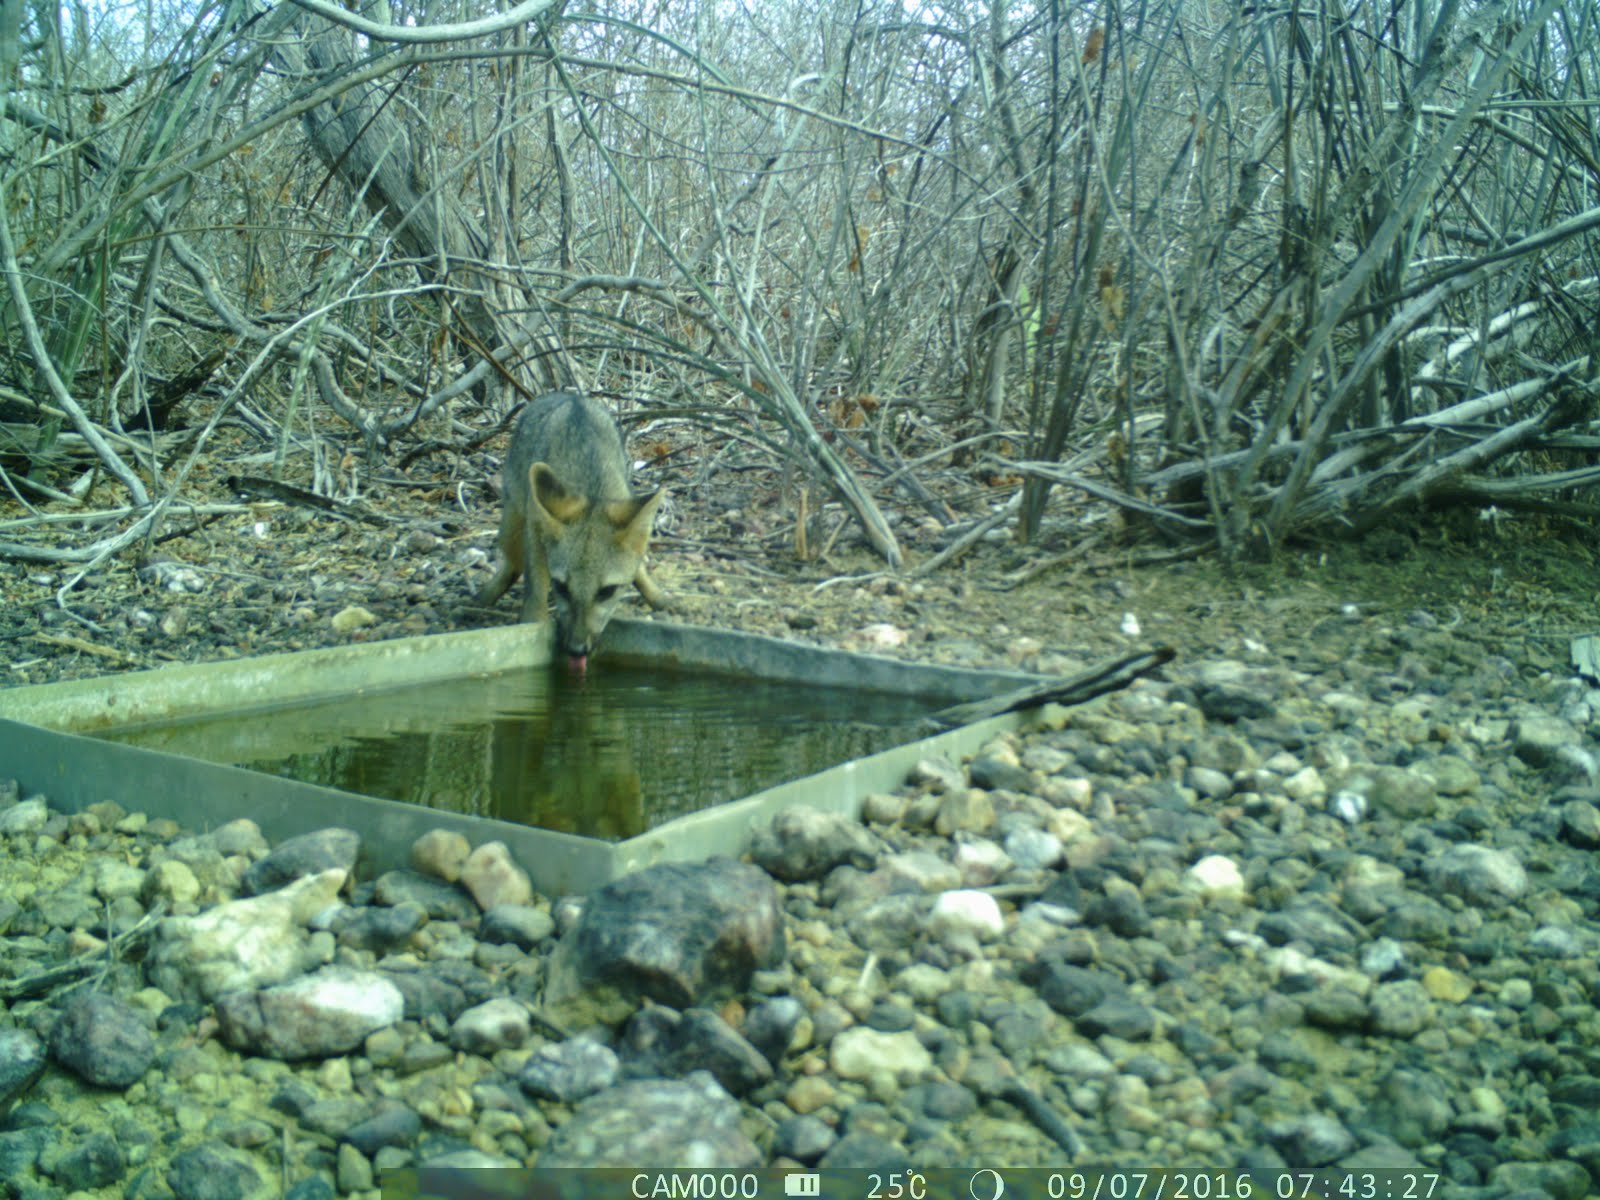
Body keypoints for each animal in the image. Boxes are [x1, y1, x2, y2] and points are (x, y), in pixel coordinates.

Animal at [480, 395, 668, 678]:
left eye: (607, 592)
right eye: (561, 587)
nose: (577, 650)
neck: (592, 486)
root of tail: (570, 395)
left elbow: (637, 566)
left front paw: (654, 594)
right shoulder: (536, 531)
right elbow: (536, 587)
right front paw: (532, 625)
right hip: (511, 529)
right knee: (513, 565)